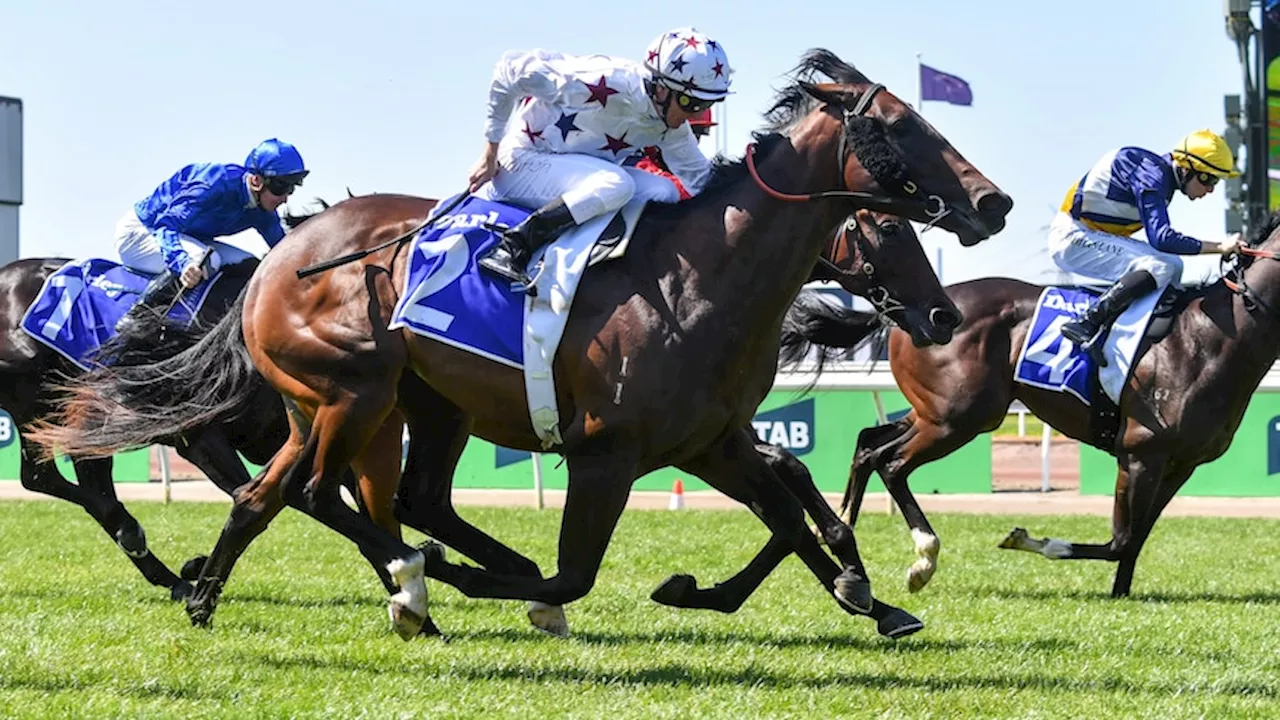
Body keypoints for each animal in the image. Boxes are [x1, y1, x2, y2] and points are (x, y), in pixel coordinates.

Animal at [32, 49, 1008, 638]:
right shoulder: (607, 453)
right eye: (899, 128)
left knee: (294, 495)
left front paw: (864, 598)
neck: (701, 280)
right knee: (328, 495)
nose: (991, 202)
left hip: (387, 405)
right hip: (355, 392)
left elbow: (787, 505)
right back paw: (411, 580)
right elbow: (572, 575)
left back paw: (215, 592)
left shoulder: (710, 441)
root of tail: (275, 262)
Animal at [773, 215, 1280, 597]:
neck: (1211, 338)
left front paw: (1121, 593)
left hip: (937, 412)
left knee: (867, 444)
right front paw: (1025, 539)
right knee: (892, 463)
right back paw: (921, 561)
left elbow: (1135, 540)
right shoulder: (1140, 453)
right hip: (961, 418)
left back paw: (841, 532)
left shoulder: (1182, 463)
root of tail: (903, 316)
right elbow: (1120, 540)